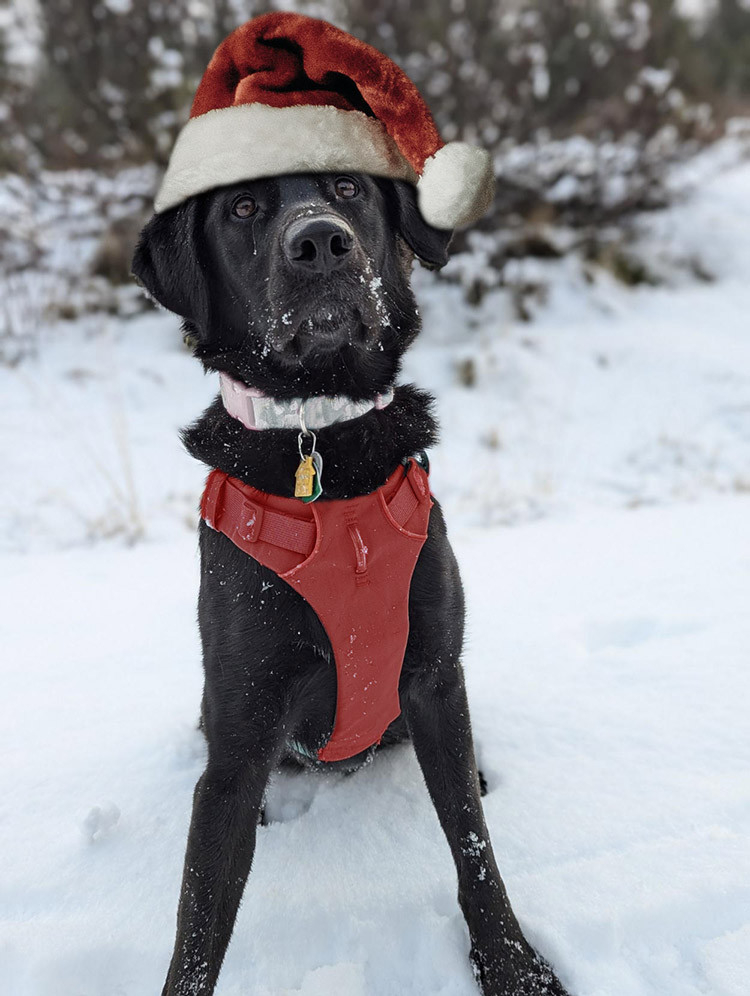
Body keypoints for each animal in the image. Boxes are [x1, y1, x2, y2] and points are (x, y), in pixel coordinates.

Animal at [134, 173, 568, 996]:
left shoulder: (434, 676)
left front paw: (515, 969)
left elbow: (474, 847)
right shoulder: (239, 734)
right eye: (242, 206)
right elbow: (198, 927)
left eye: (348, 187)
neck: (323, 438)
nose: (321, 242)